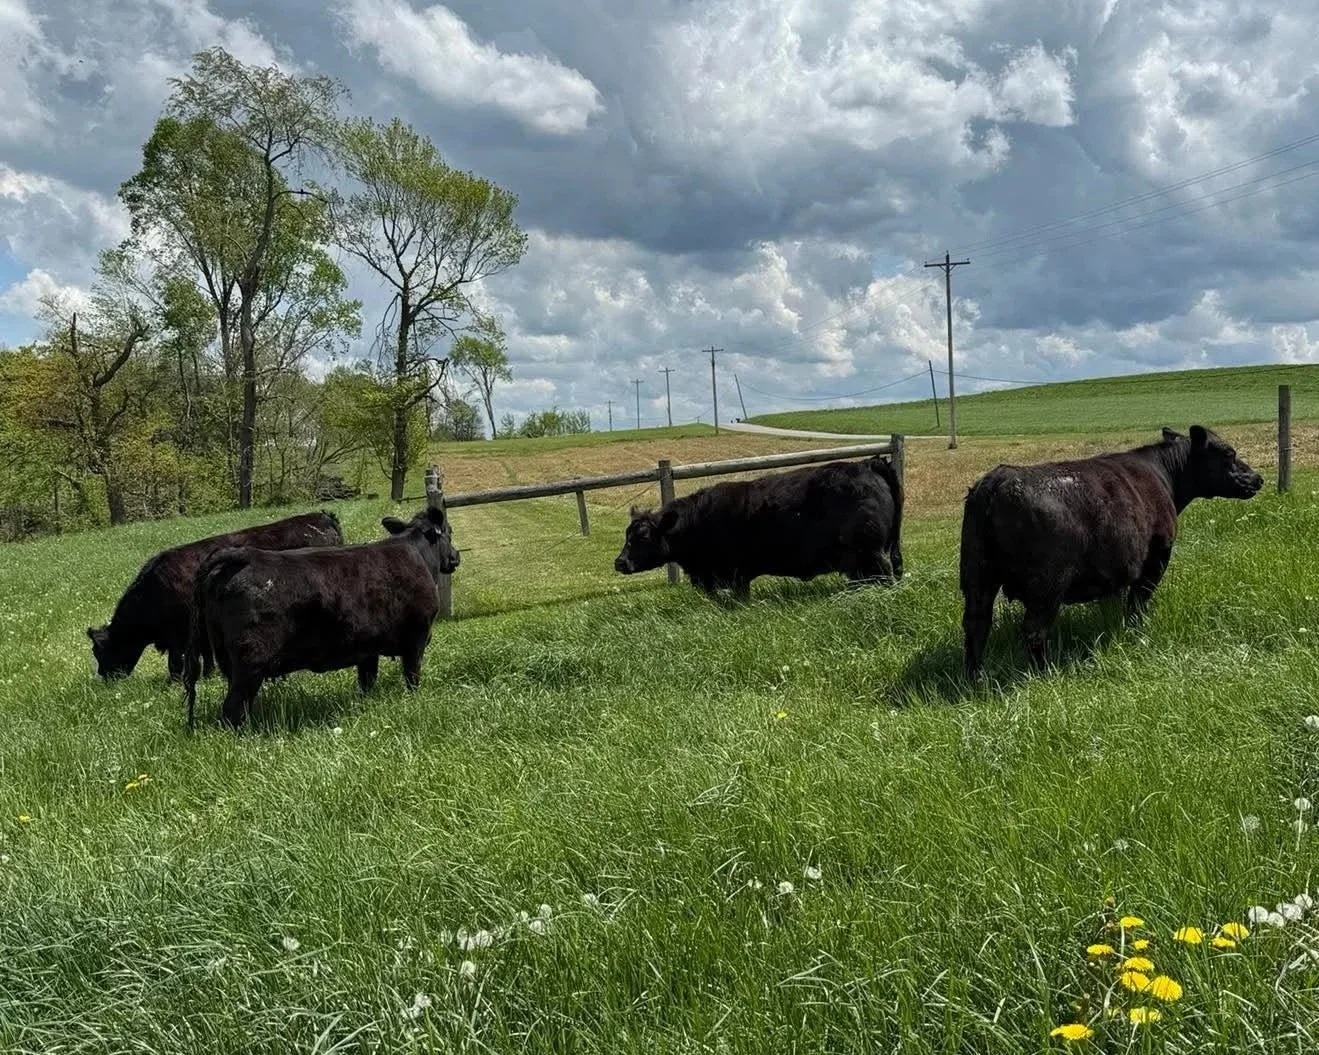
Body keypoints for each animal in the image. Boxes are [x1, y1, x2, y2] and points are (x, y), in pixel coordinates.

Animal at [87, 511, 344, 682]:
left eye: (99, 651)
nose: (104, 677)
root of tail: (323, 517)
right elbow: (206, 653)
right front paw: (208, 674)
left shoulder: (178, 633)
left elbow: (175, 661)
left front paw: (175, 681)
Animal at [184, 505, 460, 730]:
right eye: (449, 532)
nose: (456, 556)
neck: (418, 556)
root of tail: (247, 555)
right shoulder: (417, 637)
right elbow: (412, 676)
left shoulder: (367, 648)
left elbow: (367, 682)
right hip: (249, 660)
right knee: (232, 707)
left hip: (229, 660)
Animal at [613, 455, 903, 600]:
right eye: (626, 534)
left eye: (643, 536)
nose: (619, 562)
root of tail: (867, 464)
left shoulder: (734, 572)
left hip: (870, 553)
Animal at [959, 425, 1262, 678]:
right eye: (1229, 453)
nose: (1257, 478)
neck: (1164, 476)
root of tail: (1000, 477)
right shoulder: (1156, 557)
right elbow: (1138, 601)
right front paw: (1137, 632)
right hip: (1046, 585)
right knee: (1034, 631)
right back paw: (1044, 674)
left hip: (977, 578)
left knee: (976, 625)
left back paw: (976, 678)